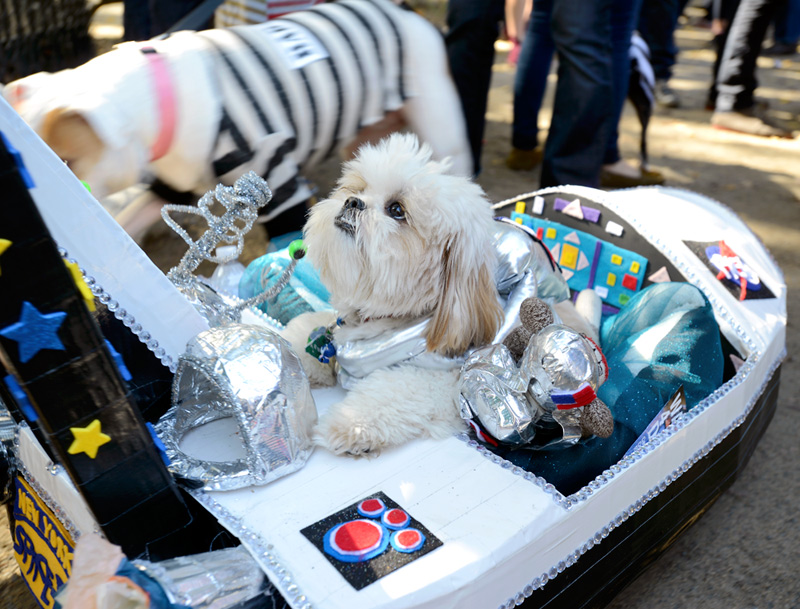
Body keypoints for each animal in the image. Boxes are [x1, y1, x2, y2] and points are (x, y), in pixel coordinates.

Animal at [284, 134, 504, 456]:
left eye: (397, 210)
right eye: (358, 189)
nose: (353, 202)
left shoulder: (446, 380)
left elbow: (394, 390)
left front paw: (350, 424)